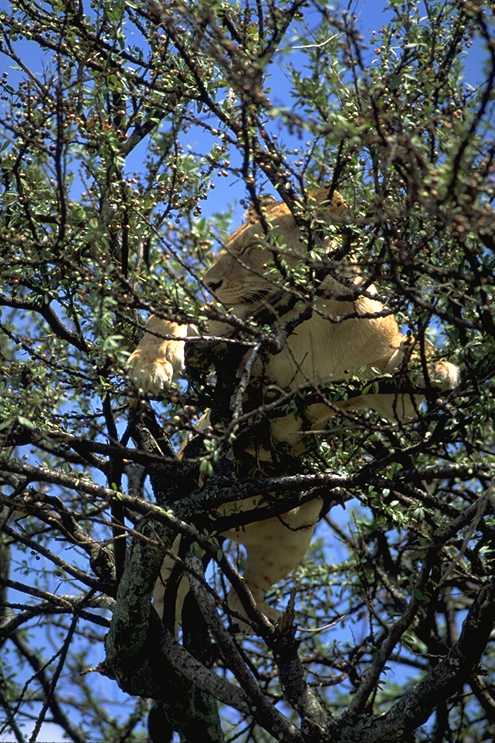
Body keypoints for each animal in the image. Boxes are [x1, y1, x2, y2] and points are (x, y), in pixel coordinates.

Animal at [128, 189, 459, 629]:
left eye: (250, 249)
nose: (210, 283)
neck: (315, 314)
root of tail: (229, 524)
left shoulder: (389, 393)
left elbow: (410, 354)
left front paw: (440, 368)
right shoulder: (224, 324)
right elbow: (167, 316)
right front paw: (150, 366)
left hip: (296, 529)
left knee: (242, 596)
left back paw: (269, 622)